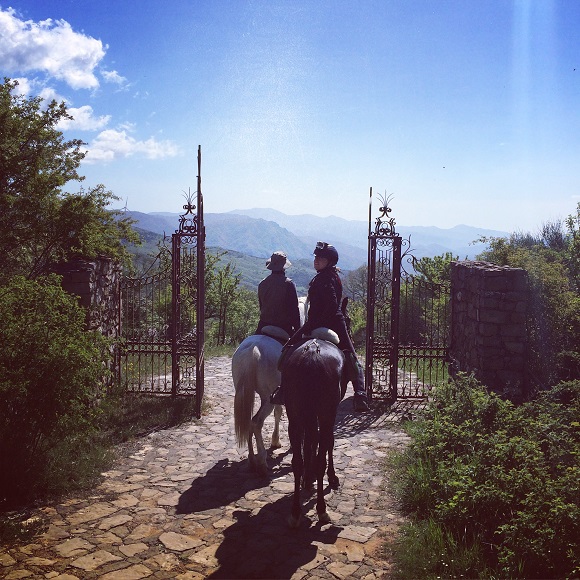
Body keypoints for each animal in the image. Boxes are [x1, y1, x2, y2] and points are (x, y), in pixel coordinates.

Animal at [232, 300, 308, 476]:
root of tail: (253, 349)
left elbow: (278, 413)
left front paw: (276, 441)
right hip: (267, 399)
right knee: (256, 422)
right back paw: (261, 461)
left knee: (249, 421)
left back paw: (252, 460)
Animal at [282, 338, 344, 528]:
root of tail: (311, 355)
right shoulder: (329, 416)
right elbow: (328, 443)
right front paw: (332, 477)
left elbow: (310, 442)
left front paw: (308, 479)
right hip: (325, 414)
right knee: (320, 459)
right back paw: (322, 509)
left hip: (294, 417)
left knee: (297, 462)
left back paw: (295, 512)